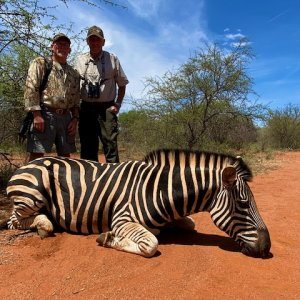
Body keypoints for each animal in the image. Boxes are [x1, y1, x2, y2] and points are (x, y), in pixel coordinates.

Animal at [7, 150, 270, 258]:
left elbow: (190, 223)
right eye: (243, 204)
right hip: (31, 195)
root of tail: (28, 163)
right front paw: (108, 238)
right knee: (15, 221)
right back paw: (44, 224)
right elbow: (151, 244)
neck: (160, 191)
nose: (266, 248)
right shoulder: (121, 219)